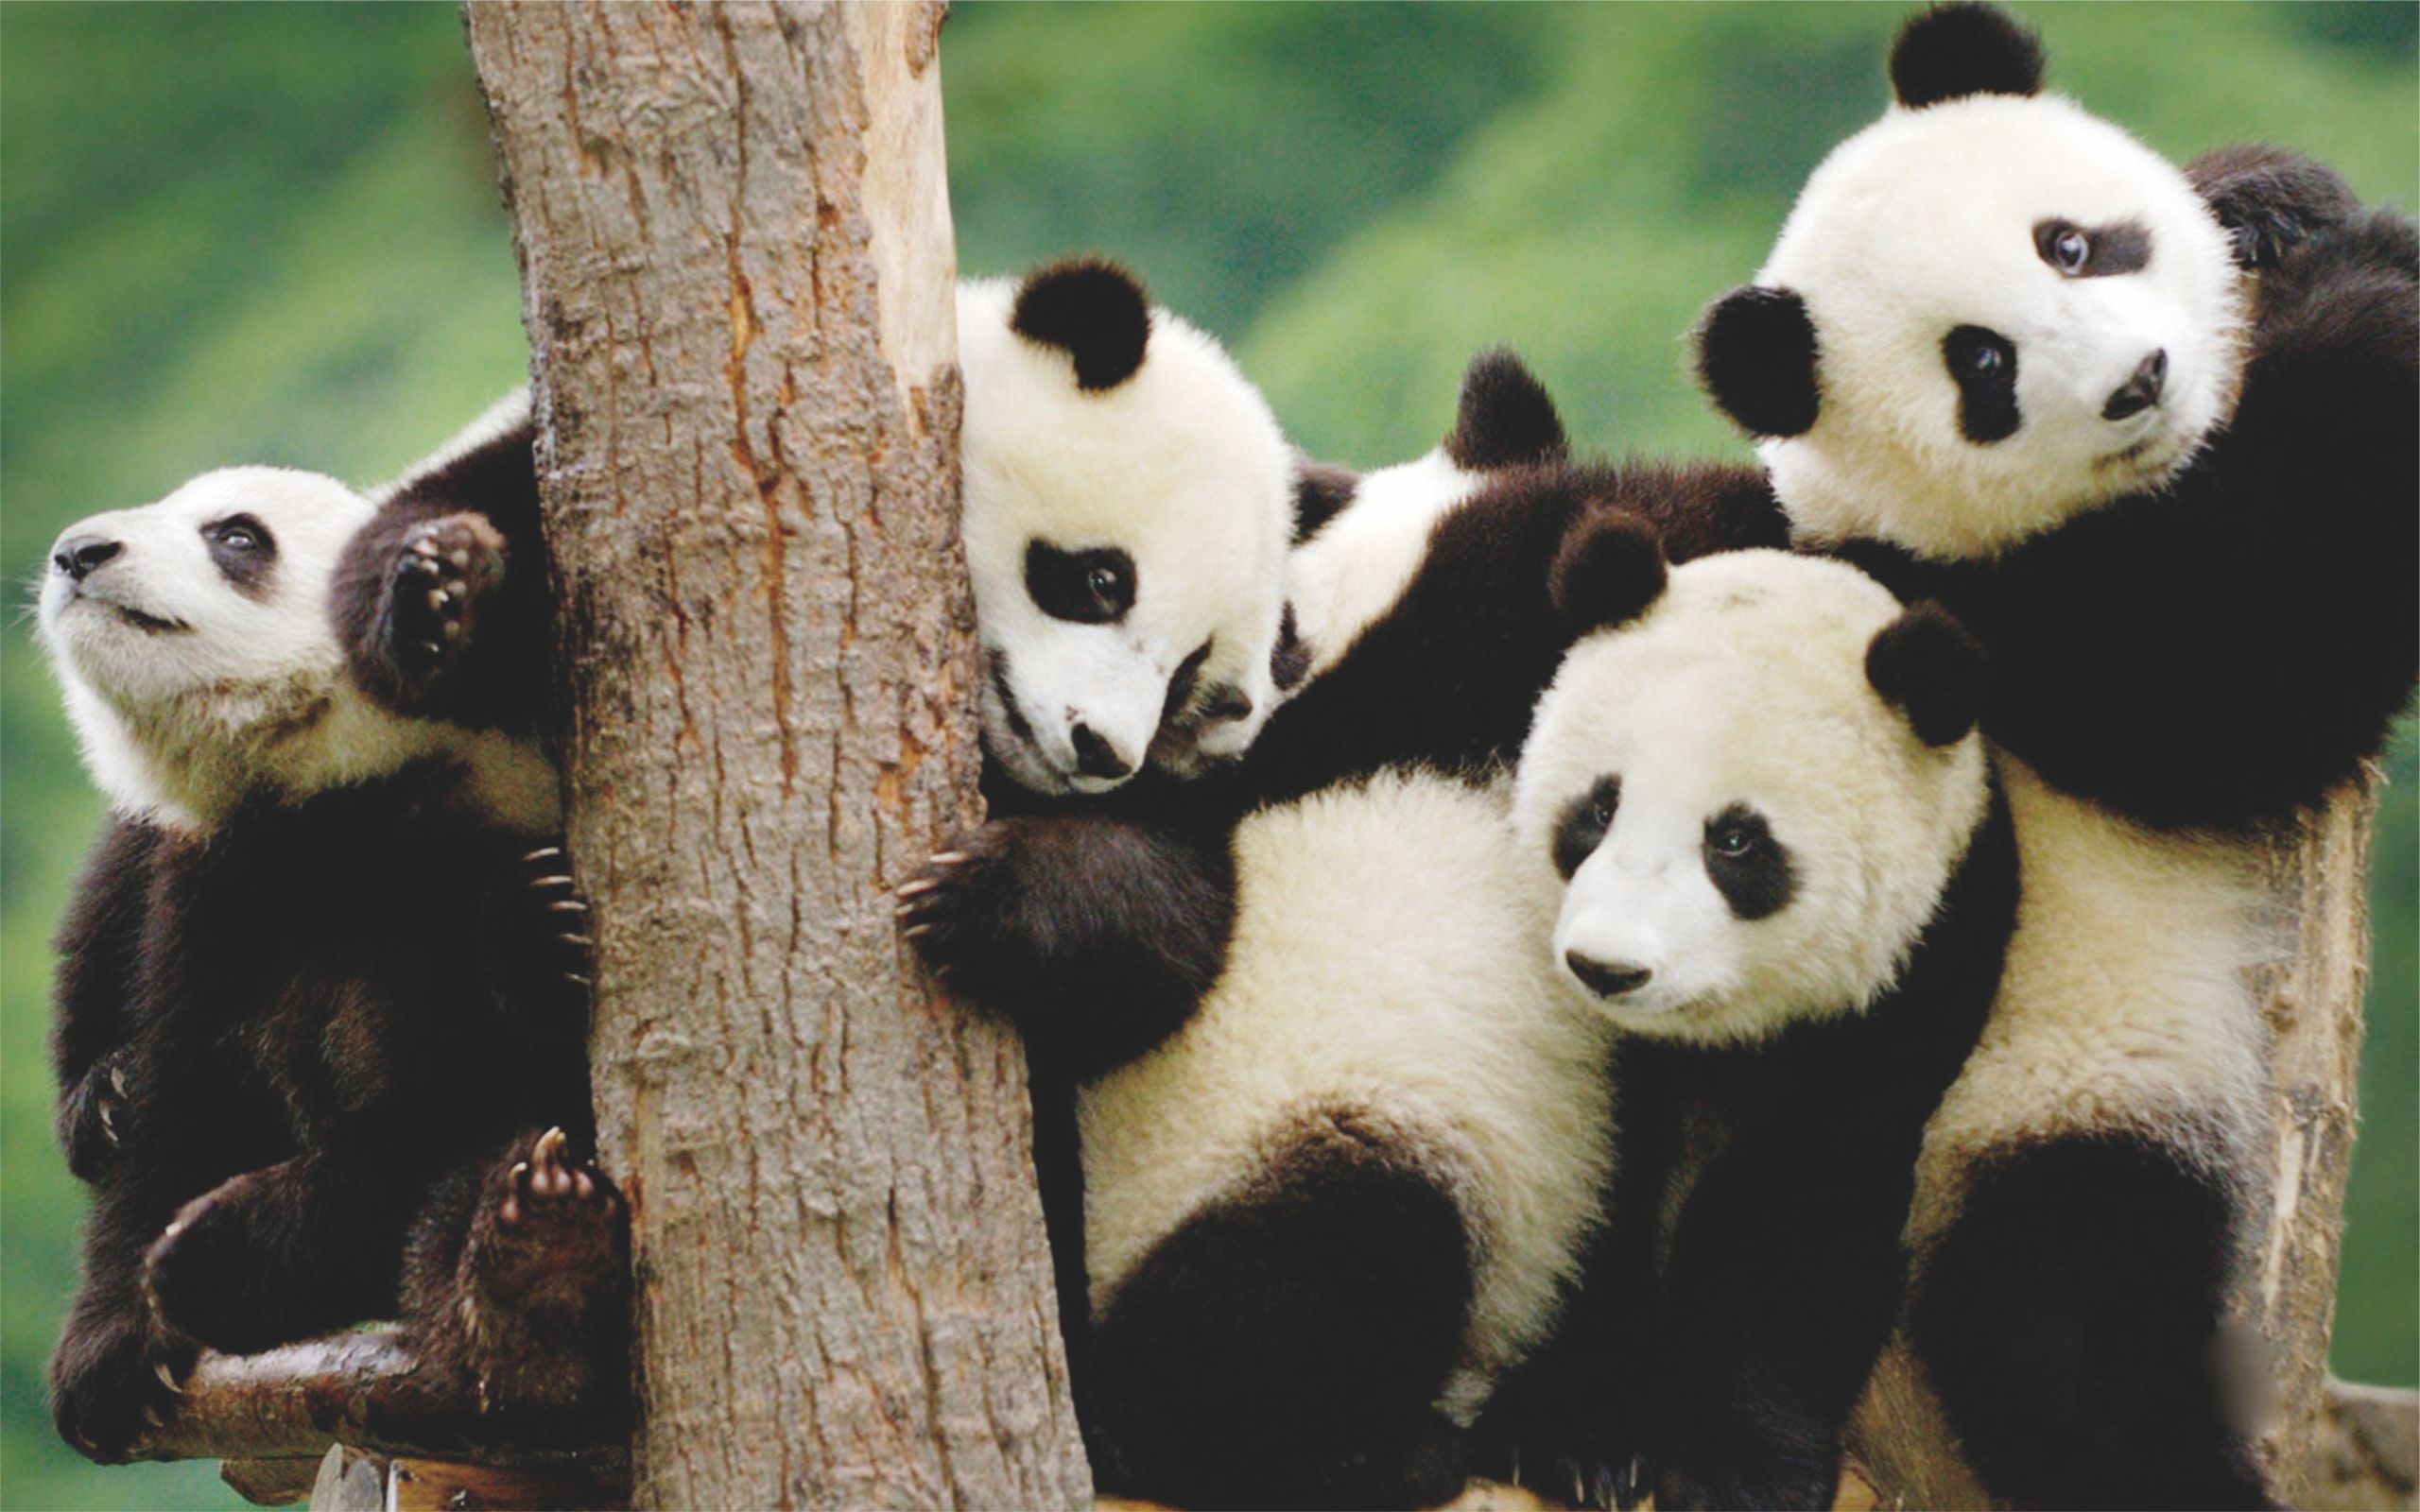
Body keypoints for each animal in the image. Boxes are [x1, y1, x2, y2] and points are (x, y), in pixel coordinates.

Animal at [36, 400, 624, 1459]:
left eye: (236, 535)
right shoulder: (223, 879)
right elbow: (180, 1091)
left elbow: (449, 1094)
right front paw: (109, 1351)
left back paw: (530, 1277)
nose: (78, 552)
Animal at [1484, 542, 2016, 1512]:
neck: (1711, 1038)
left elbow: (1802, 1213)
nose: (1607, 967)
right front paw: (1571, 1438)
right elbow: (1595, 1175)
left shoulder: (1923, 966)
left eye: (1735, 842)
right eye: (1597, 810)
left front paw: (1730, 1471)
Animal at [1689, 5, 2418, 1504]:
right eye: (1981, 366)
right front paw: (2380, 280)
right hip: (2044, 1081)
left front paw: (2272, 199)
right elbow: (2243, 677)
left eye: (2070, 244)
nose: (2139, 380)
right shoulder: (1993, 617)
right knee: (2066, 1336)